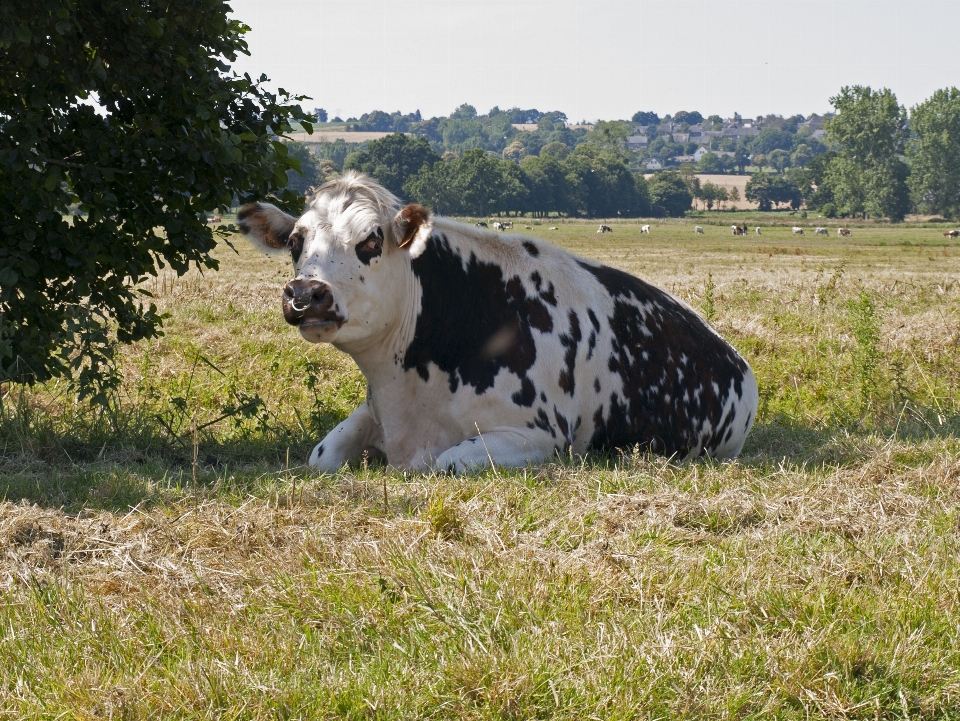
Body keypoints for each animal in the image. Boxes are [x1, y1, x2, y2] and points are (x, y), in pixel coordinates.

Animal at [238, 173, 756, 472]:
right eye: (295, 243)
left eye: (370, 241)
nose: (306, 294)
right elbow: (320, 457)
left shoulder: (538, 437)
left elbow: (444, 463)